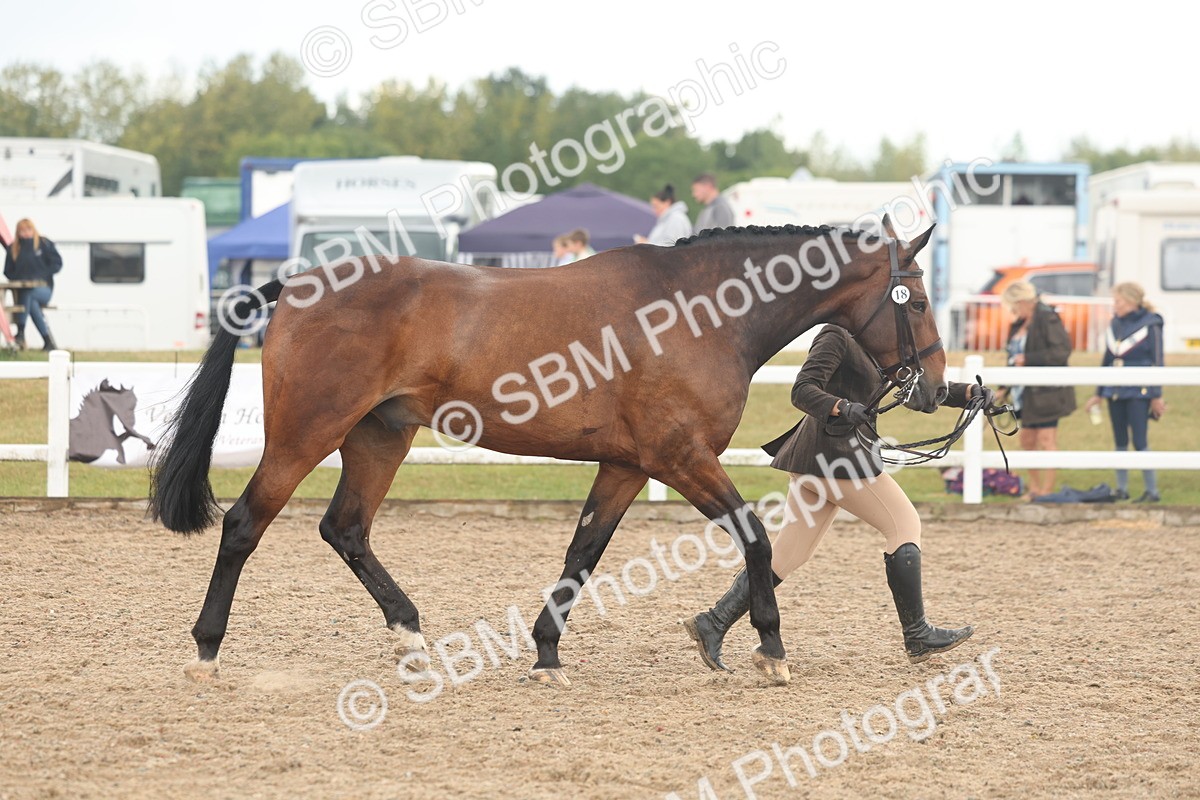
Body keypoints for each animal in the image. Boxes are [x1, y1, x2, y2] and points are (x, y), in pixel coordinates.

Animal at [149, 218, 946, 687]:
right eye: (914, 298)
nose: (938, 385)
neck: (701, 312)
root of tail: (297, 284)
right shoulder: (681, 457)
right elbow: (754, 538)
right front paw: (771, 650)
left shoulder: (628, 466)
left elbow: (582, 555)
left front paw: (546, 653)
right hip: (305, 433)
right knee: (245, 525)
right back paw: (206, 650)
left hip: (380, 435)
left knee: (345, 528)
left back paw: (410, 633)